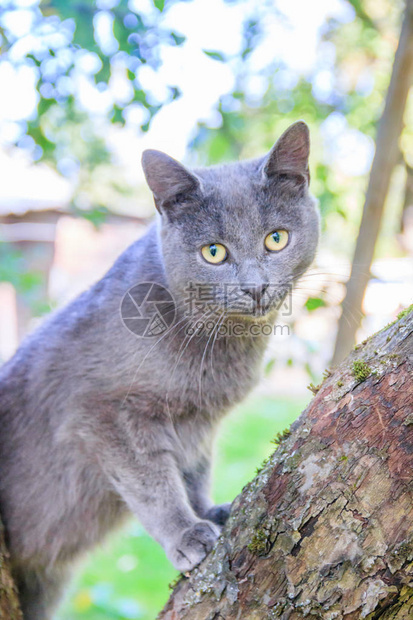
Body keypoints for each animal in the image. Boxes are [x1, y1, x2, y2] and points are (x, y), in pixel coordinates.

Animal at [0, 118, 318, 616]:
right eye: (213, 252)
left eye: (276, 238)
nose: (255, 287)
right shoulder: (99, 413)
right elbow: (151, 479)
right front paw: (185, 532)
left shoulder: (197, 420)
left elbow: (192, 468)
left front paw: (208, 511)